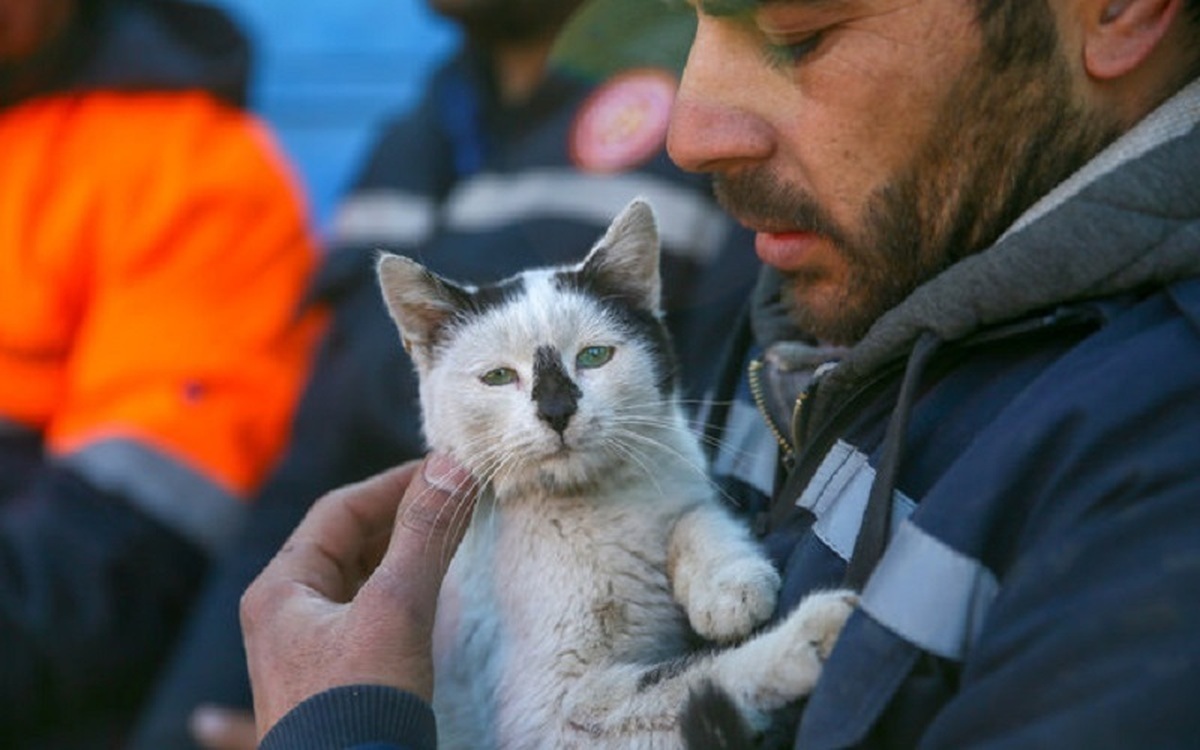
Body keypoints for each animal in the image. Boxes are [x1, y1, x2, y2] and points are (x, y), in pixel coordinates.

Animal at [374, 195, 854, 744]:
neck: (588, 507)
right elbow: (685, 680)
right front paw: (807, 635)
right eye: (497, 377)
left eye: (595, 355)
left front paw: (728, 584)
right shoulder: (552, 721)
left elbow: (693, 515)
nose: (557, 410)